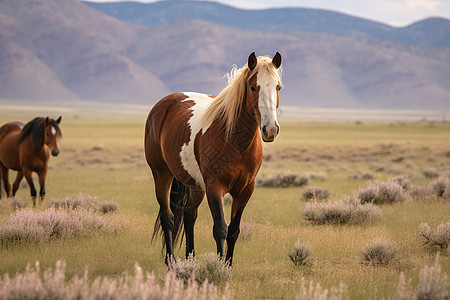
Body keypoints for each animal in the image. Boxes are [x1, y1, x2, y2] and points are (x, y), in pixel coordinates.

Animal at [145, 52, 282, 264]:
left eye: (278, 87)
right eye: (253, 87)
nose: (270, 129)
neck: (235, 141)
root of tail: (164, 103)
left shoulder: (245, 190)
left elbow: (234, 231)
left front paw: (228, 265)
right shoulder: (215, 187)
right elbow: (220, 229)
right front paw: (218, 268)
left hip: (195, 185)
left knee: (189, 216)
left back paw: (190, 258)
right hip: (162, 175)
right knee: (167, 217)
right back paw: (171, 261)